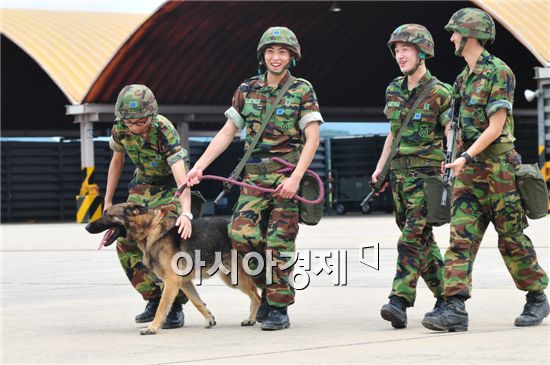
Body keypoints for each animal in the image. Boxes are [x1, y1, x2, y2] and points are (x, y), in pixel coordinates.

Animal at [85, 203, 262, 334]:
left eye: (107, 214)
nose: (86, 227)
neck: (150, 229)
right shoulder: (184, 283)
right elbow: (197, 302)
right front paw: (209, 318)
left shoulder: (171, 281)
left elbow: (162, 306)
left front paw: (152, 328)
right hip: (230, 277)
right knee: (255, 295)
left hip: (236, 278)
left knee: (257, 296)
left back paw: (253, 318)